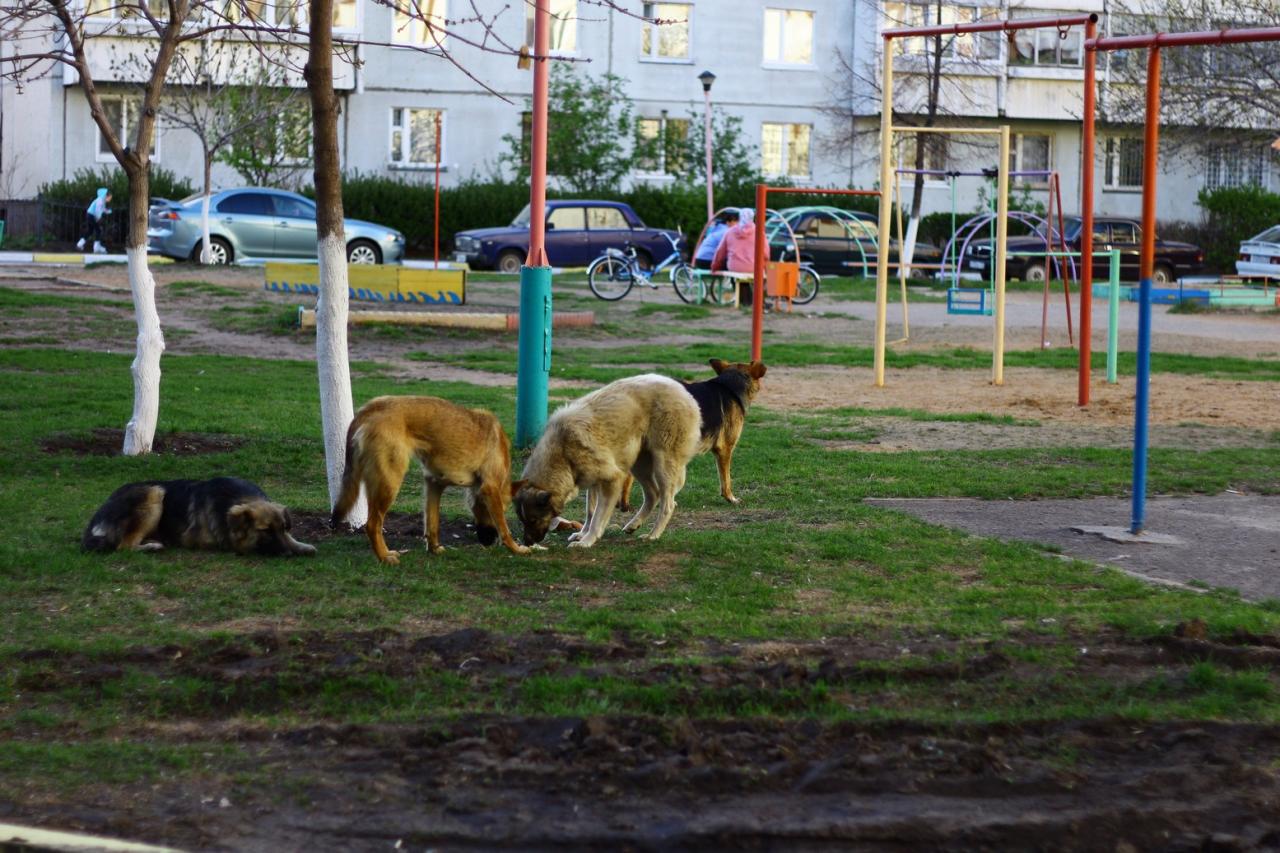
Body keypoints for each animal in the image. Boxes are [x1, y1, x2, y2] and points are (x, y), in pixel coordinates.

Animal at [81, 473, 316, 555]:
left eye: (283, 529)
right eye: (265, 531)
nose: (288, 554)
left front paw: (302, 546)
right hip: (154, 493)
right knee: (124, 546)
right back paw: (152, 546)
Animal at [332, 394, 532, 563]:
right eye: (503, 509)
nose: (488, 543)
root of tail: (372, 407)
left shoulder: (434, 483)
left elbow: (432, 522)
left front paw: (434, 549)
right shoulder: (490, 488)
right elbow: (504, 528)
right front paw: (516, 548)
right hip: (389, 483)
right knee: (372, 525)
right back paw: (384, 557)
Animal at [512, 371, 701, 545]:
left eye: (534, 520)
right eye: (522, 520)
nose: (526, 543)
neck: (562, 452)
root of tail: (681, 389)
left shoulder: (612, 480)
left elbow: (597, 517)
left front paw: (587, 541)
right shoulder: (593, 480)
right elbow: (590, 512)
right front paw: (582, 534)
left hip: (663, 465)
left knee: (668, 504)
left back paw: (653, 535)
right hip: (639, 465)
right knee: (653, 494)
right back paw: (634, 525)